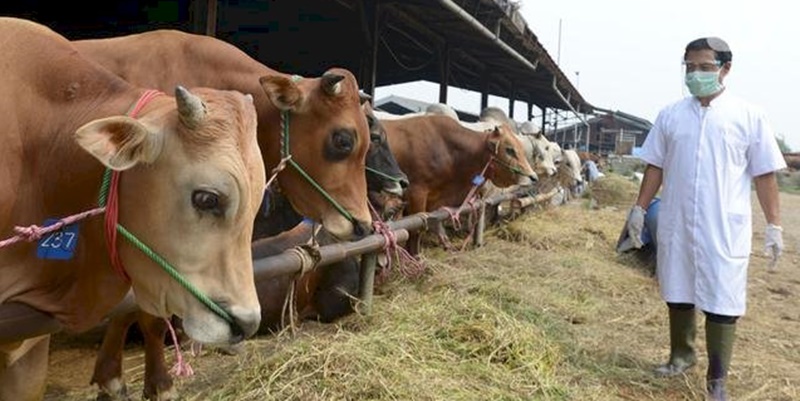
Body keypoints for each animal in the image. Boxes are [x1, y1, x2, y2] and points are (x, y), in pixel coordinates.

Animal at [382, 114, 536, 255]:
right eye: (509, 149)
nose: (533, 177)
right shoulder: (416, 193)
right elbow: (415, 229)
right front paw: (415, 257)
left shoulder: (433, 200)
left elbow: (436, 223)